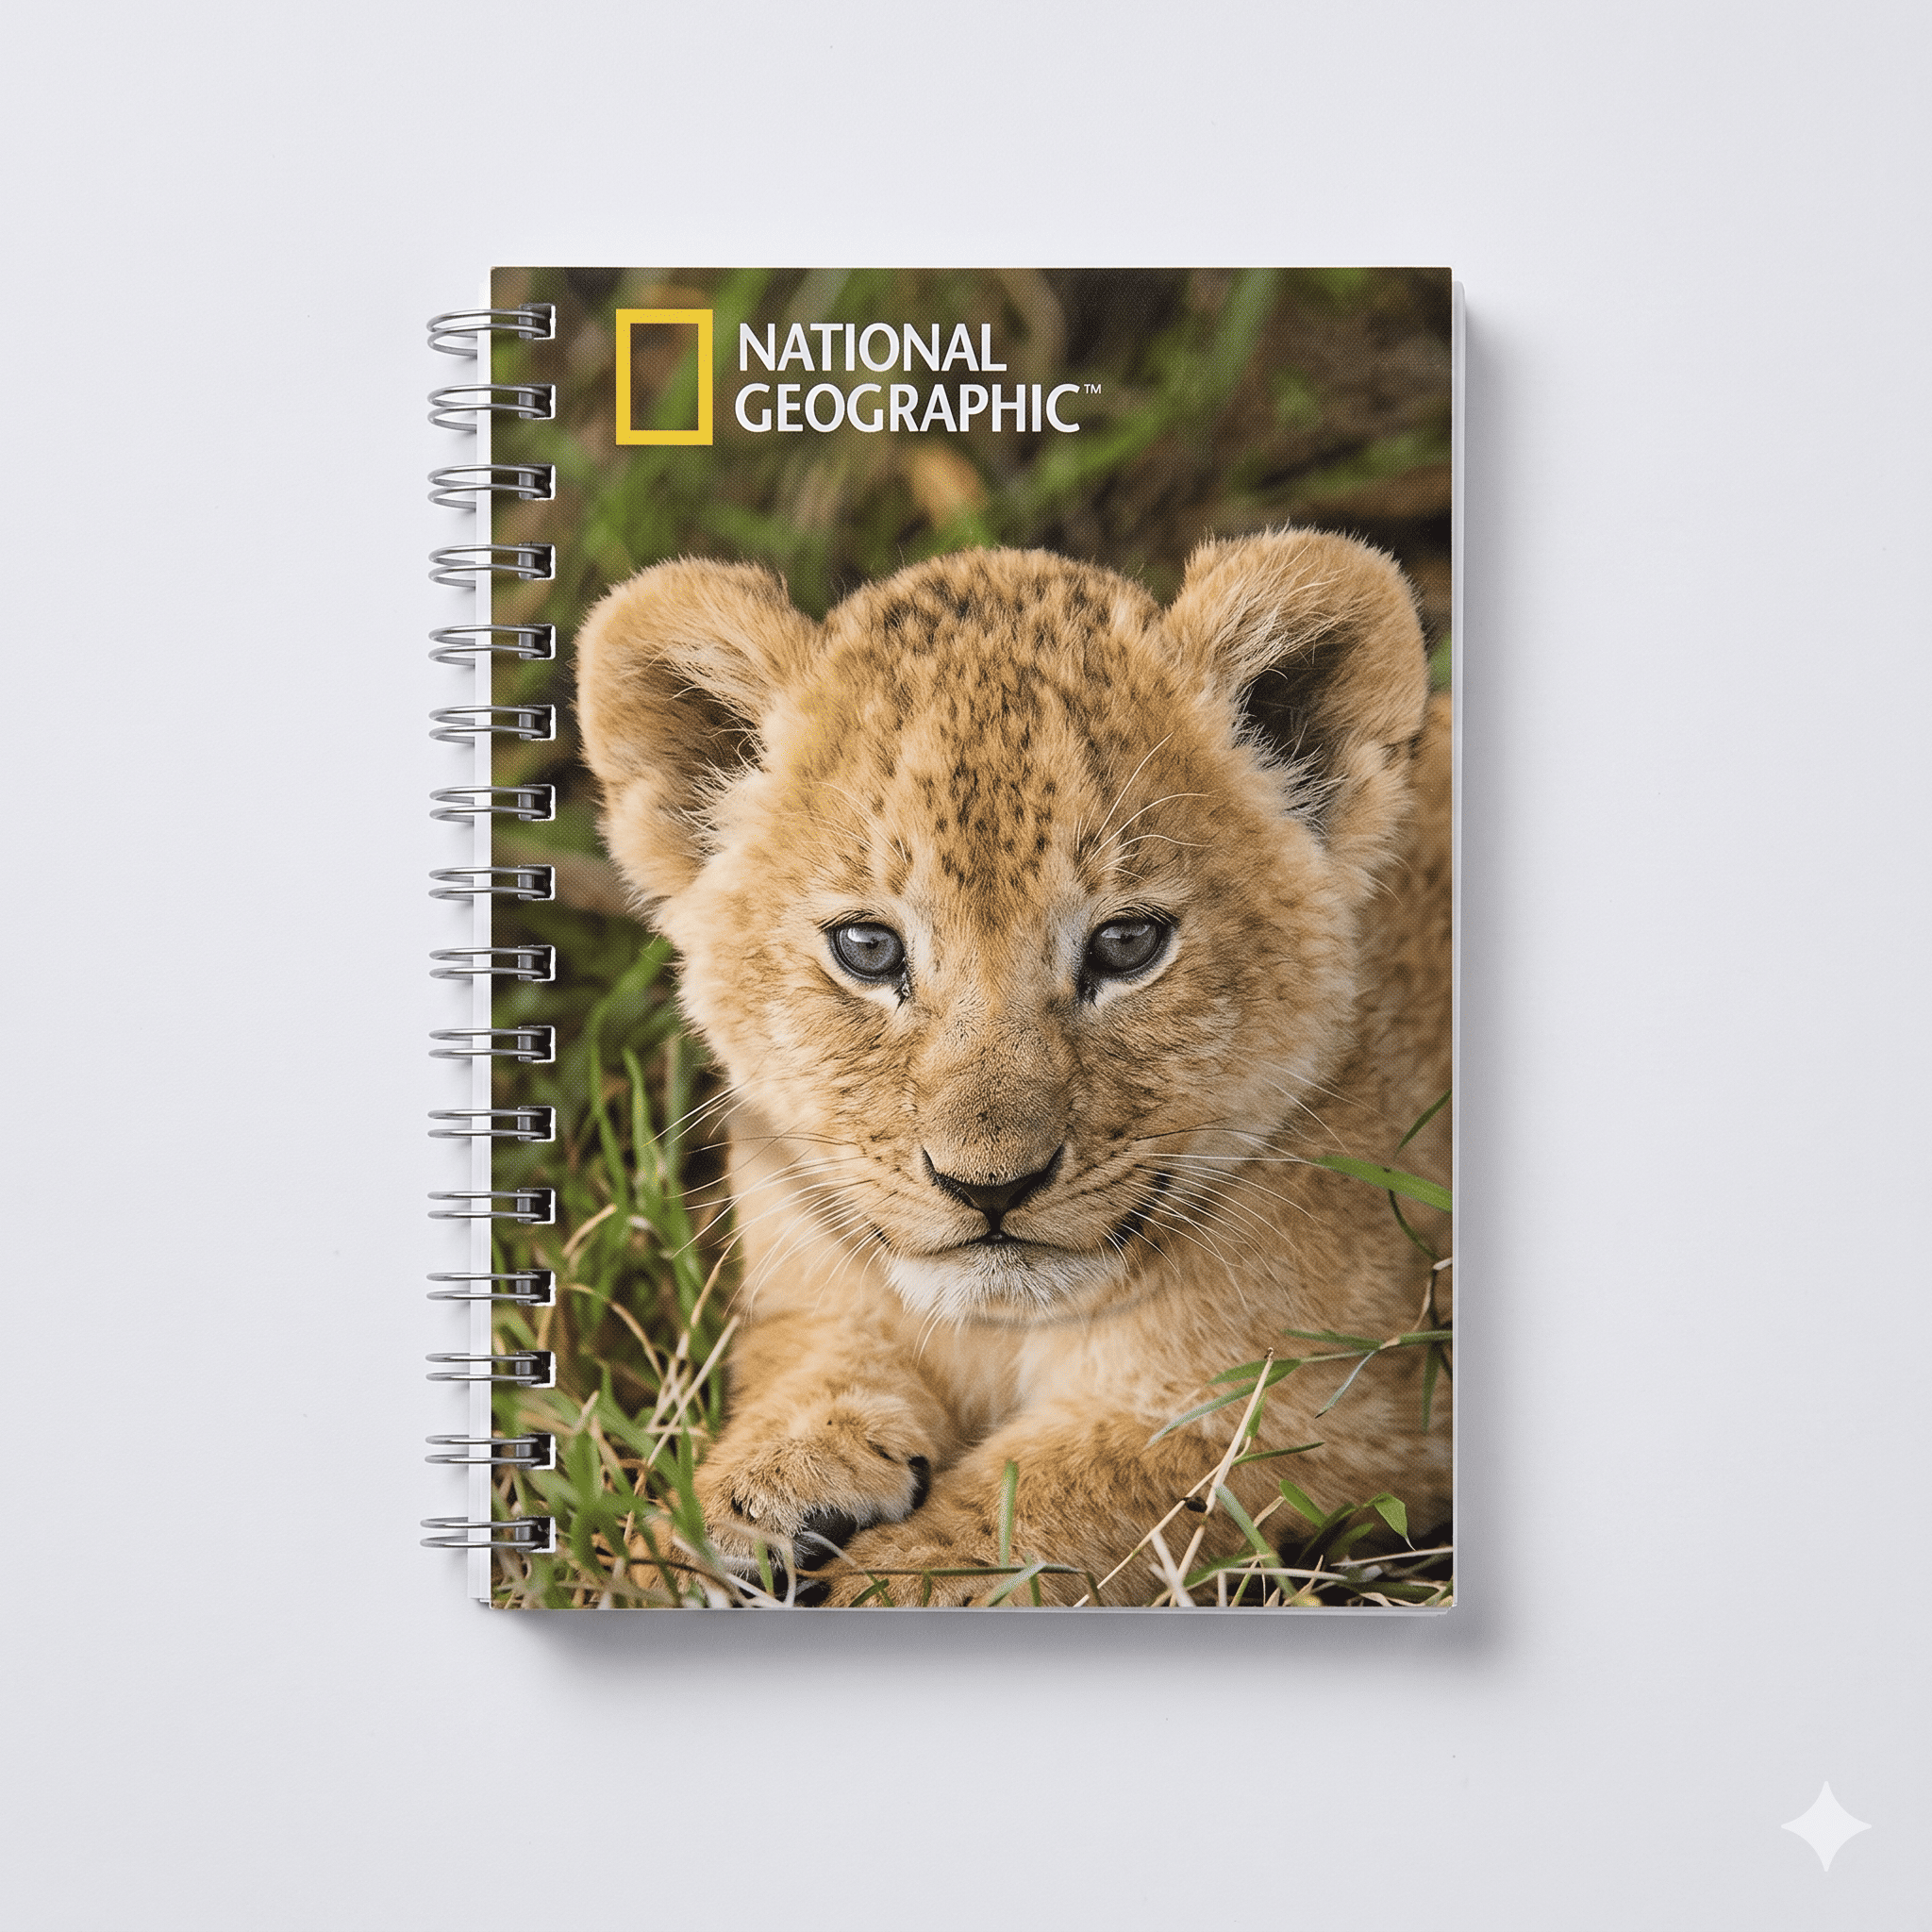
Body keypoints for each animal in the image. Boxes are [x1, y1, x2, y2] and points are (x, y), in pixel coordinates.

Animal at [575, 531, 1451, 1605]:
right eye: (868, 948)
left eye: (1126, 943)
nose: (988, 1187)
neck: (997, 1327)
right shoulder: (805, 1289)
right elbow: (803, 1379)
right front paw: (717, 1521)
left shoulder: (1355, 1400)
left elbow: (1073, 1488)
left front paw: (894, 1580)